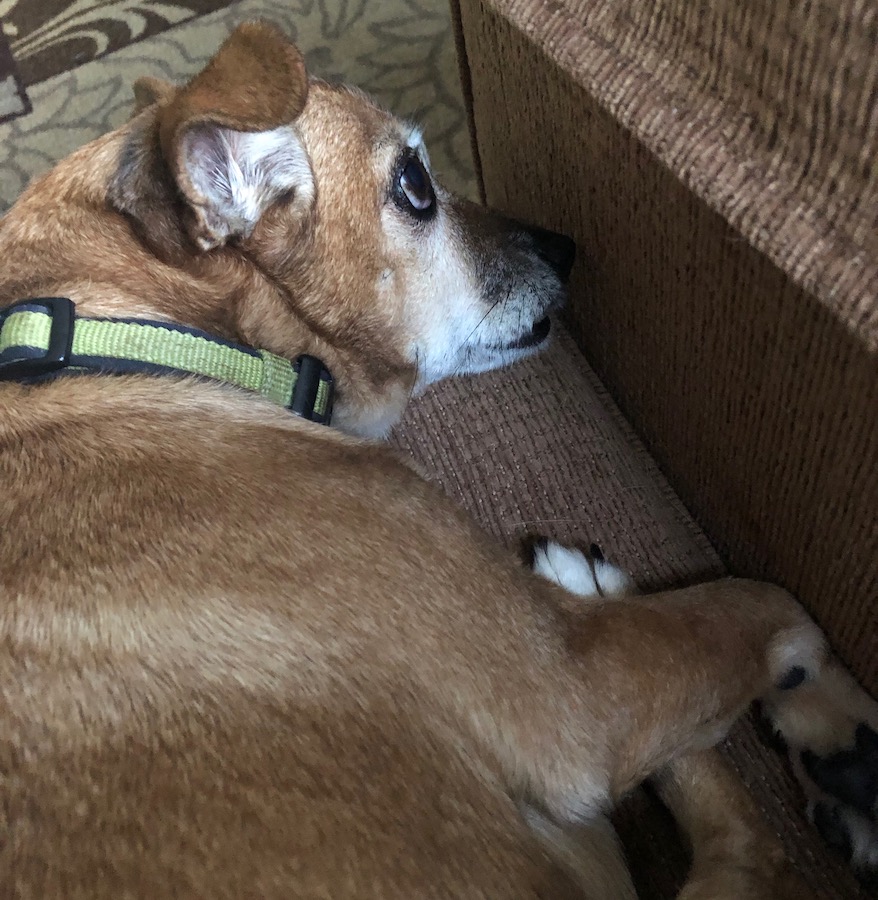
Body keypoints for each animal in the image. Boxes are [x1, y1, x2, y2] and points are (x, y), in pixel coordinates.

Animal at [1, 22, 878, 900]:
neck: (150, 332)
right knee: (748, 841)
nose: (569, 246)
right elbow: (758, 607)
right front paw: (833, 700)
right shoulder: (575, 694)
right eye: (416, 183)